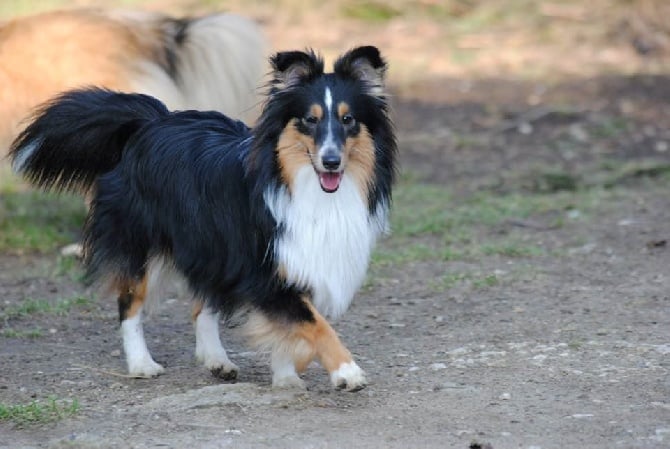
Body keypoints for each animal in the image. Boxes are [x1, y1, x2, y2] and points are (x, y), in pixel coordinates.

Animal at [10, 44, 396, 388]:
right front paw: (346, 372)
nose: (331, 161)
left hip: (212, 246)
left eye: (348, 120)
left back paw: (216, 360)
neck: (302, 184)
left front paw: (287, 373)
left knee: (202, 304)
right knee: (130, 305)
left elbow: (295, 326)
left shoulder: (299, 260)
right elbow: (315, 324)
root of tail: (151, 121)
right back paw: (142, 364)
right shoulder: (263, 268)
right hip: (142, 243)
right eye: (309, 120)